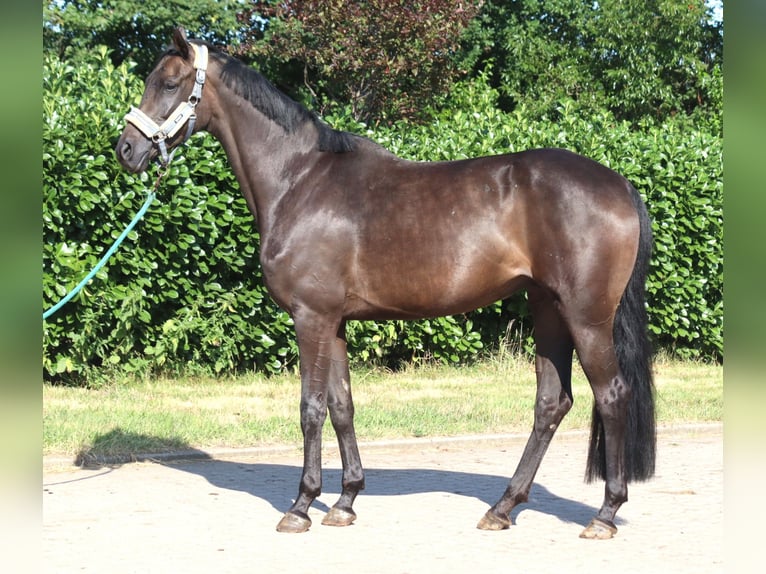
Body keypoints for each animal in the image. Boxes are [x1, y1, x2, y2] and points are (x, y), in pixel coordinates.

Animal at [116, 28, 656, 539]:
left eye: (169, 83)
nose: (126, 150)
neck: (299, 180)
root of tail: (619, 184)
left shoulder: (311, 318)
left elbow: (310, 408)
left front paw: (301, 506)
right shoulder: (333, 322)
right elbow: (341, 406)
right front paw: (345, 501)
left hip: (586, 317)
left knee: (612, 395)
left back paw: (604, 515)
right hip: (547, 310)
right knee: (551, 402)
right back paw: (502, 508)